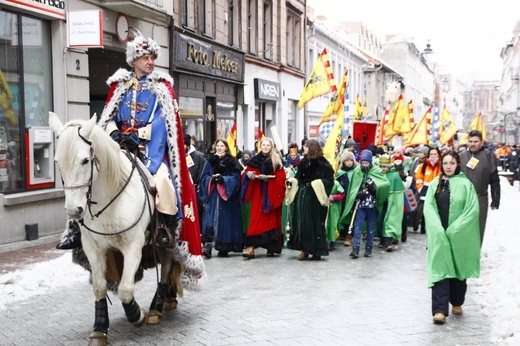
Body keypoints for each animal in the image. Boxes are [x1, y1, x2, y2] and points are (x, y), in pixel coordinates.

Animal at [48, 112, 182, 344]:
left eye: (85, 160)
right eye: (57, 162)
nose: (74, 210)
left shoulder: (133, 246)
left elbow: (126, 289)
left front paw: (137, 315)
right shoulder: (93, 248)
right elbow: (100, 286)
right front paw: (99, 328)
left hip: (165, 242)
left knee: (165, 268)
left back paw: (155, 308)